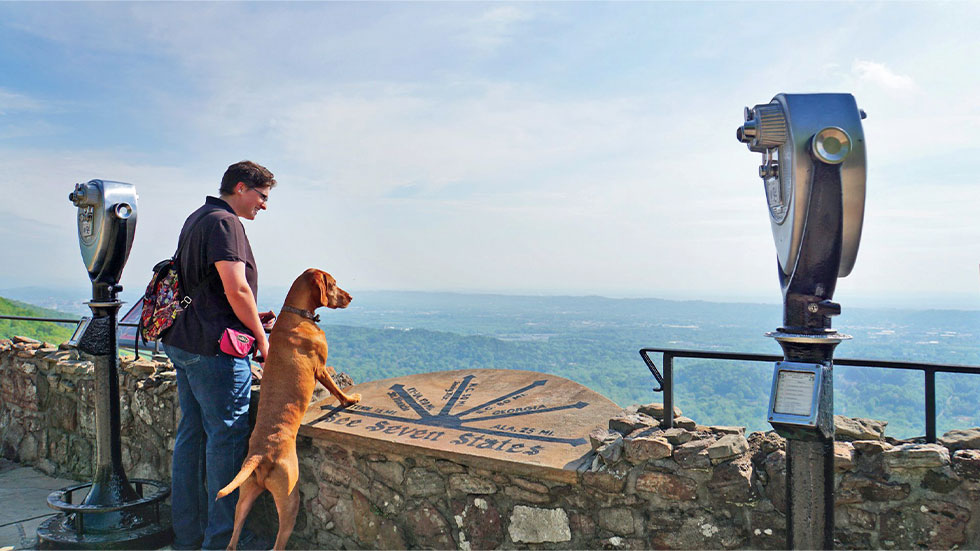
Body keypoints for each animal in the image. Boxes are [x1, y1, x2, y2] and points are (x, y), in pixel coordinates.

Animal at [216, 266, 362, 548]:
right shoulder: (320, 367)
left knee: (232, 540)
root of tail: (261, 454)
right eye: (333, 283)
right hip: (290, 499)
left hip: (245, 496)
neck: (297, 314)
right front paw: (350, 400)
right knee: (278, 542)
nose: (351, 297)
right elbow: (336, 390)